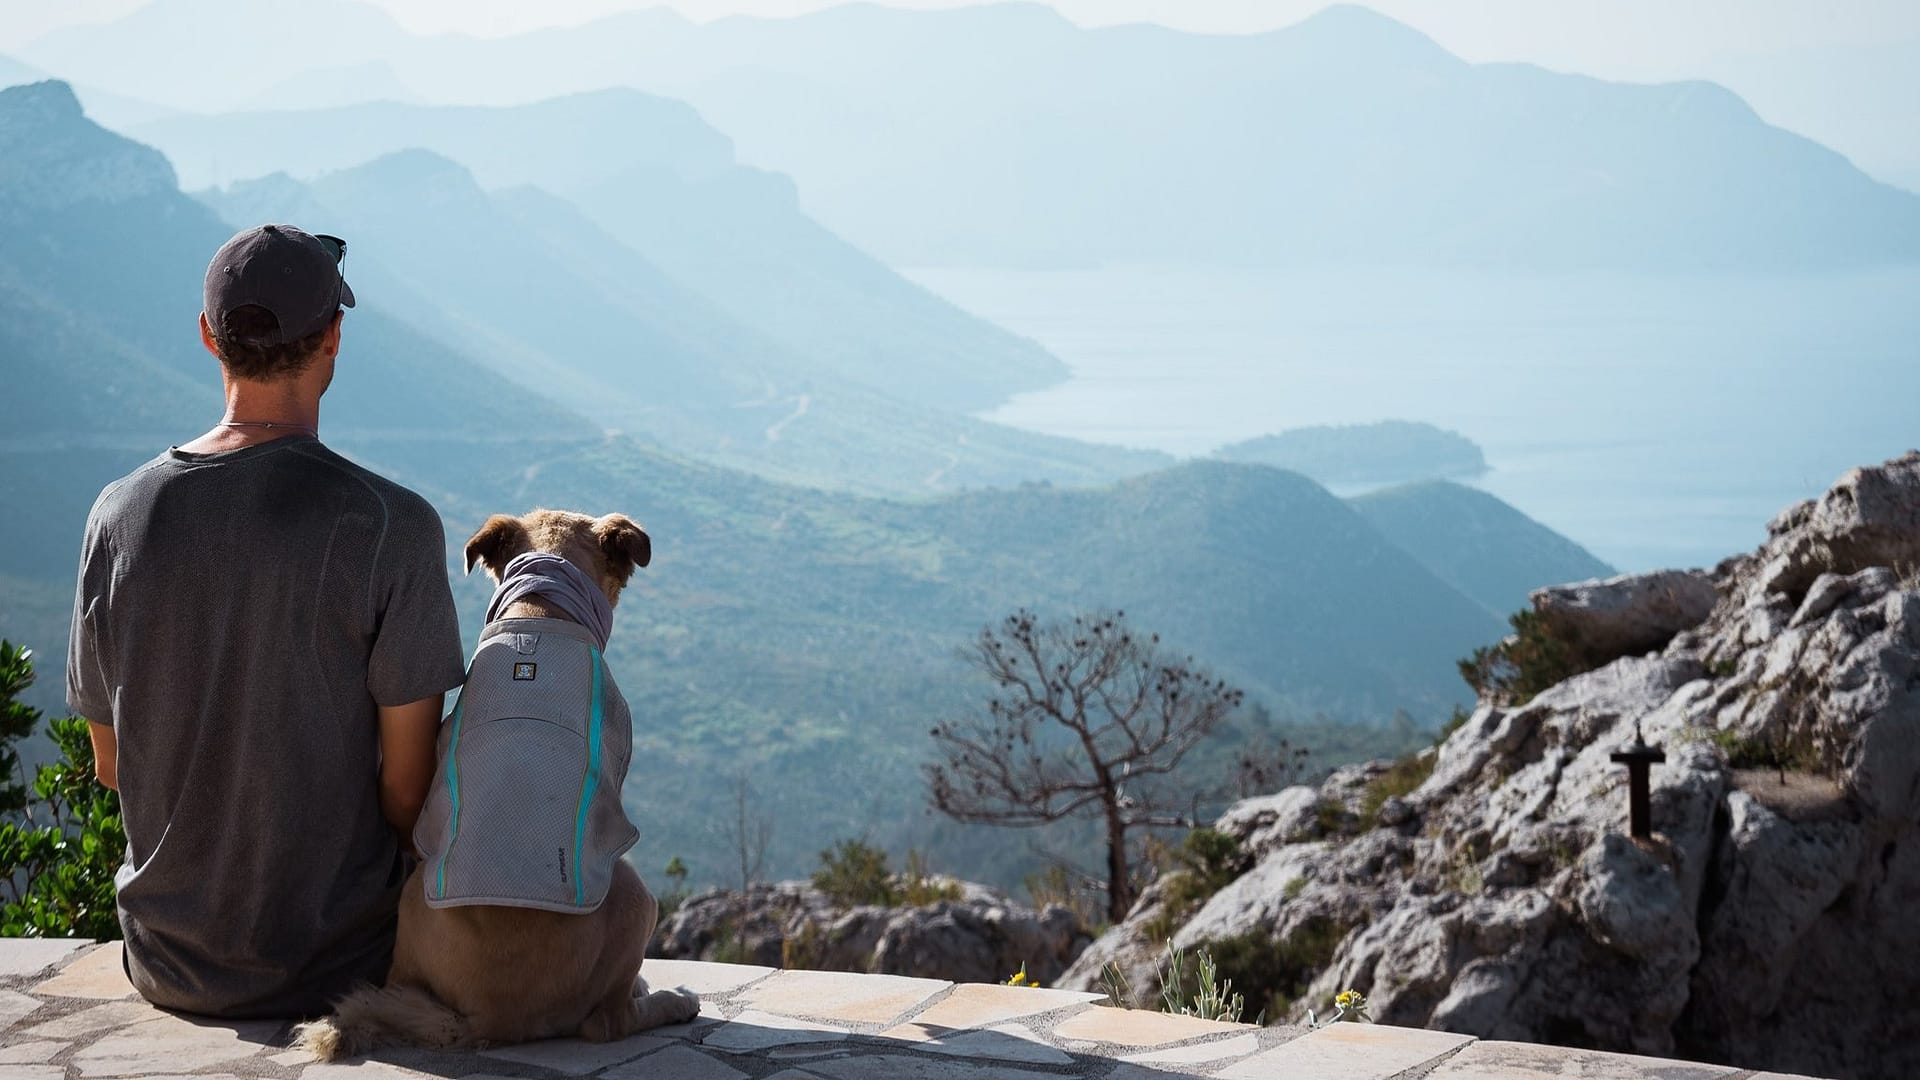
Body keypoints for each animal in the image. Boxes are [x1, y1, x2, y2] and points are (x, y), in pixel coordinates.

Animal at [293, 507, 698, 1053]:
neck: (541, 613)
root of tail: (492, 1018)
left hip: (413, 900)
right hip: (634, 893)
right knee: (607, 1022)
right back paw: (671, 1001)